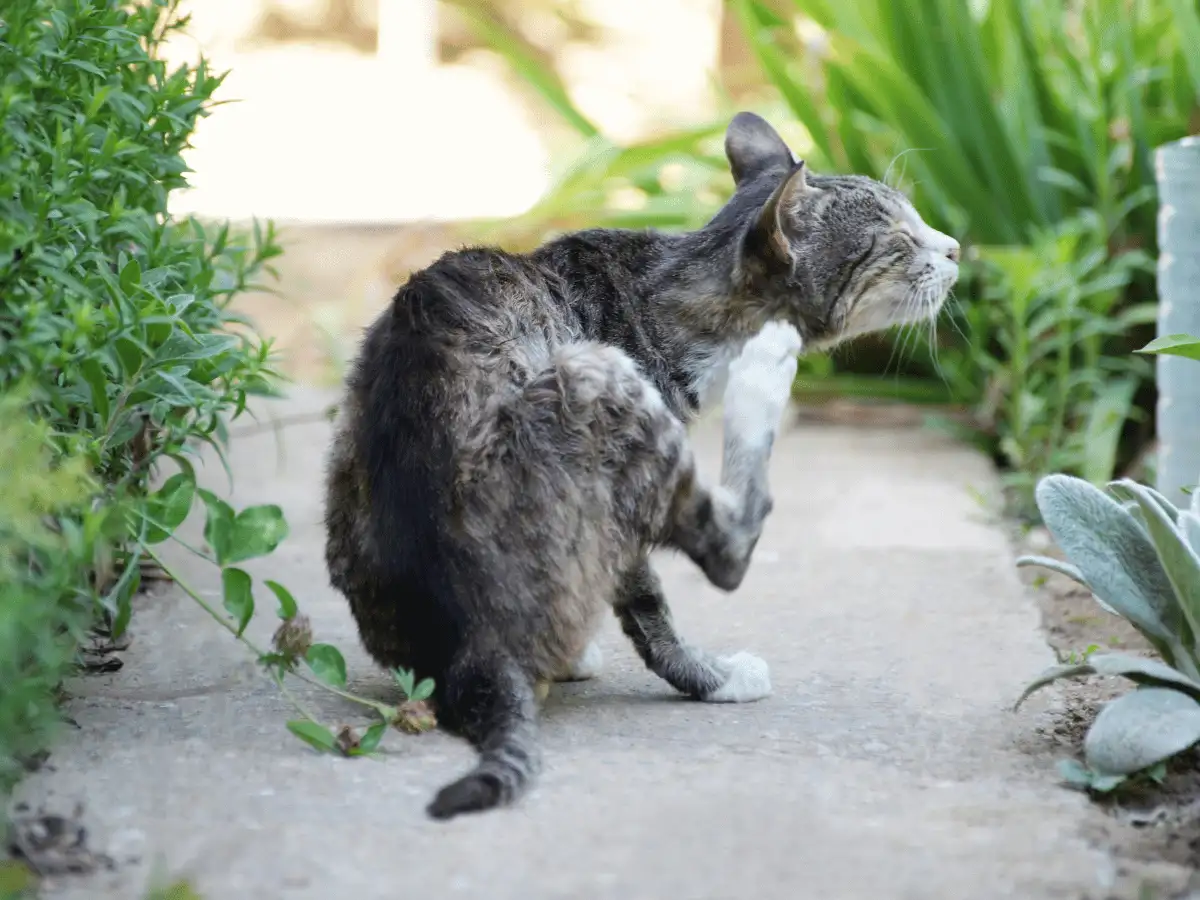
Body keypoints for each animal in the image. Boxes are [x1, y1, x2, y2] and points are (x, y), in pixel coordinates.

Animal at [324, 109, 960, 820]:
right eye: (898, 237)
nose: (957, 247)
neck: (675, 294)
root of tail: (471, 657)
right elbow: (651, 606)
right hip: (597, 378)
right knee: (727, 550)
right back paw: (765, 380)